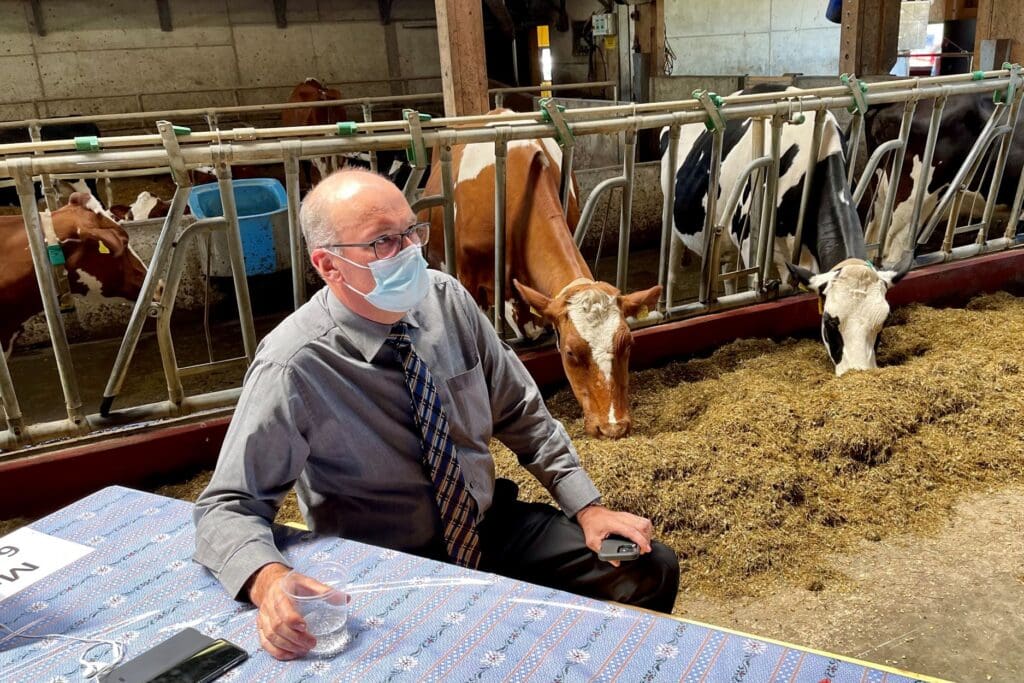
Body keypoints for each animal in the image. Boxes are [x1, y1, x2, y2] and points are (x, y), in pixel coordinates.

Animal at [663, 86, 913, 376]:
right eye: (830, 322)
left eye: (882, 324)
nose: (857, 373)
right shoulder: (755, 245)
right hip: (674, 220)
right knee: (672, 273)